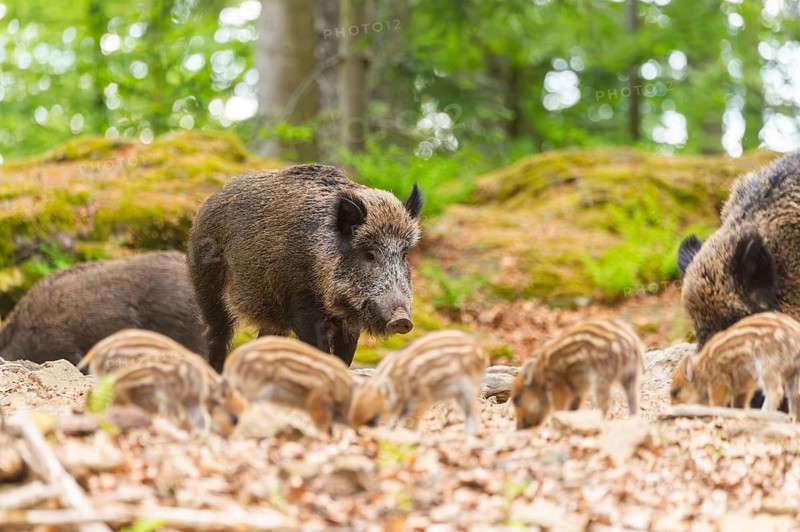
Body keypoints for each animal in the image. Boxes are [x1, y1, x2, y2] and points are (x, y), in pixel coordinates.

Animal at [187, 164, 423, 372]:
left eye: (404, 254)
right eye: (369, 254)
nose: (402, 319)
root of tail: (208, 202)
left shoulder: (350, 322)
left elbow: (344, 357)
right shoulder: (300, 304)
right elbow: (320, 351)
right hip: (208, 288)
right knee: (216, 334)